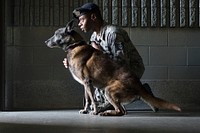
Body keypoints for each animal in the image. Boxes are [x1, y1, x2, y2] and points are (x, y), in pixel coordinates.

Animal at [45, 20, 181, 116]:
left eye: (56, 34)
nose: (45, 41)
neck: (75, 45)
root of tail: (137, 84)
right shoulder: (85, 85)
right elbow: (88, 100)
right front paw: (85, 110)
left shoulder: (87, 82)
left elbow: (92, 101)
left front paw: (94, 111)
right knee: (123, 110)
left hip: (108, 90)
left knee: (121, 111)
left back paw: (105, 112)